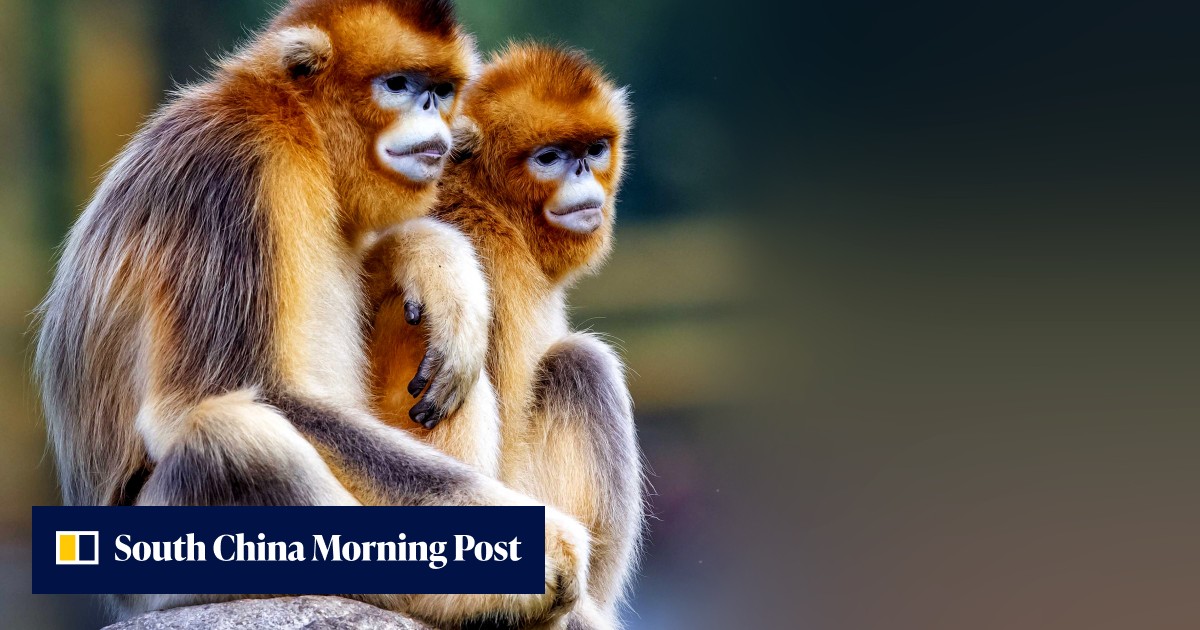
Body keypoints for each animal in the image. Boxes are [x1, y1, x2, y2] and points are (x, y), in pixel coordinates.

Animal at [34, 2, 592, 628]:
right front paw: (544, 550)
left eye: (442, 91)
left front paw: (434, 261)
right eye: (399, 86)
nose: (432, 115)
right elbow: (221, 398)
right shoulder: (234, 168)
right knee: (235, 443)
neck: (299, 127)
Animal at [365, 44, 643, 628]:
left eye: (594, 150)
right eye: (549, 158)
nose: (582, 174)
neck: (489, 202)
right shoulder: (496, 263)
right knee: (581, 364)